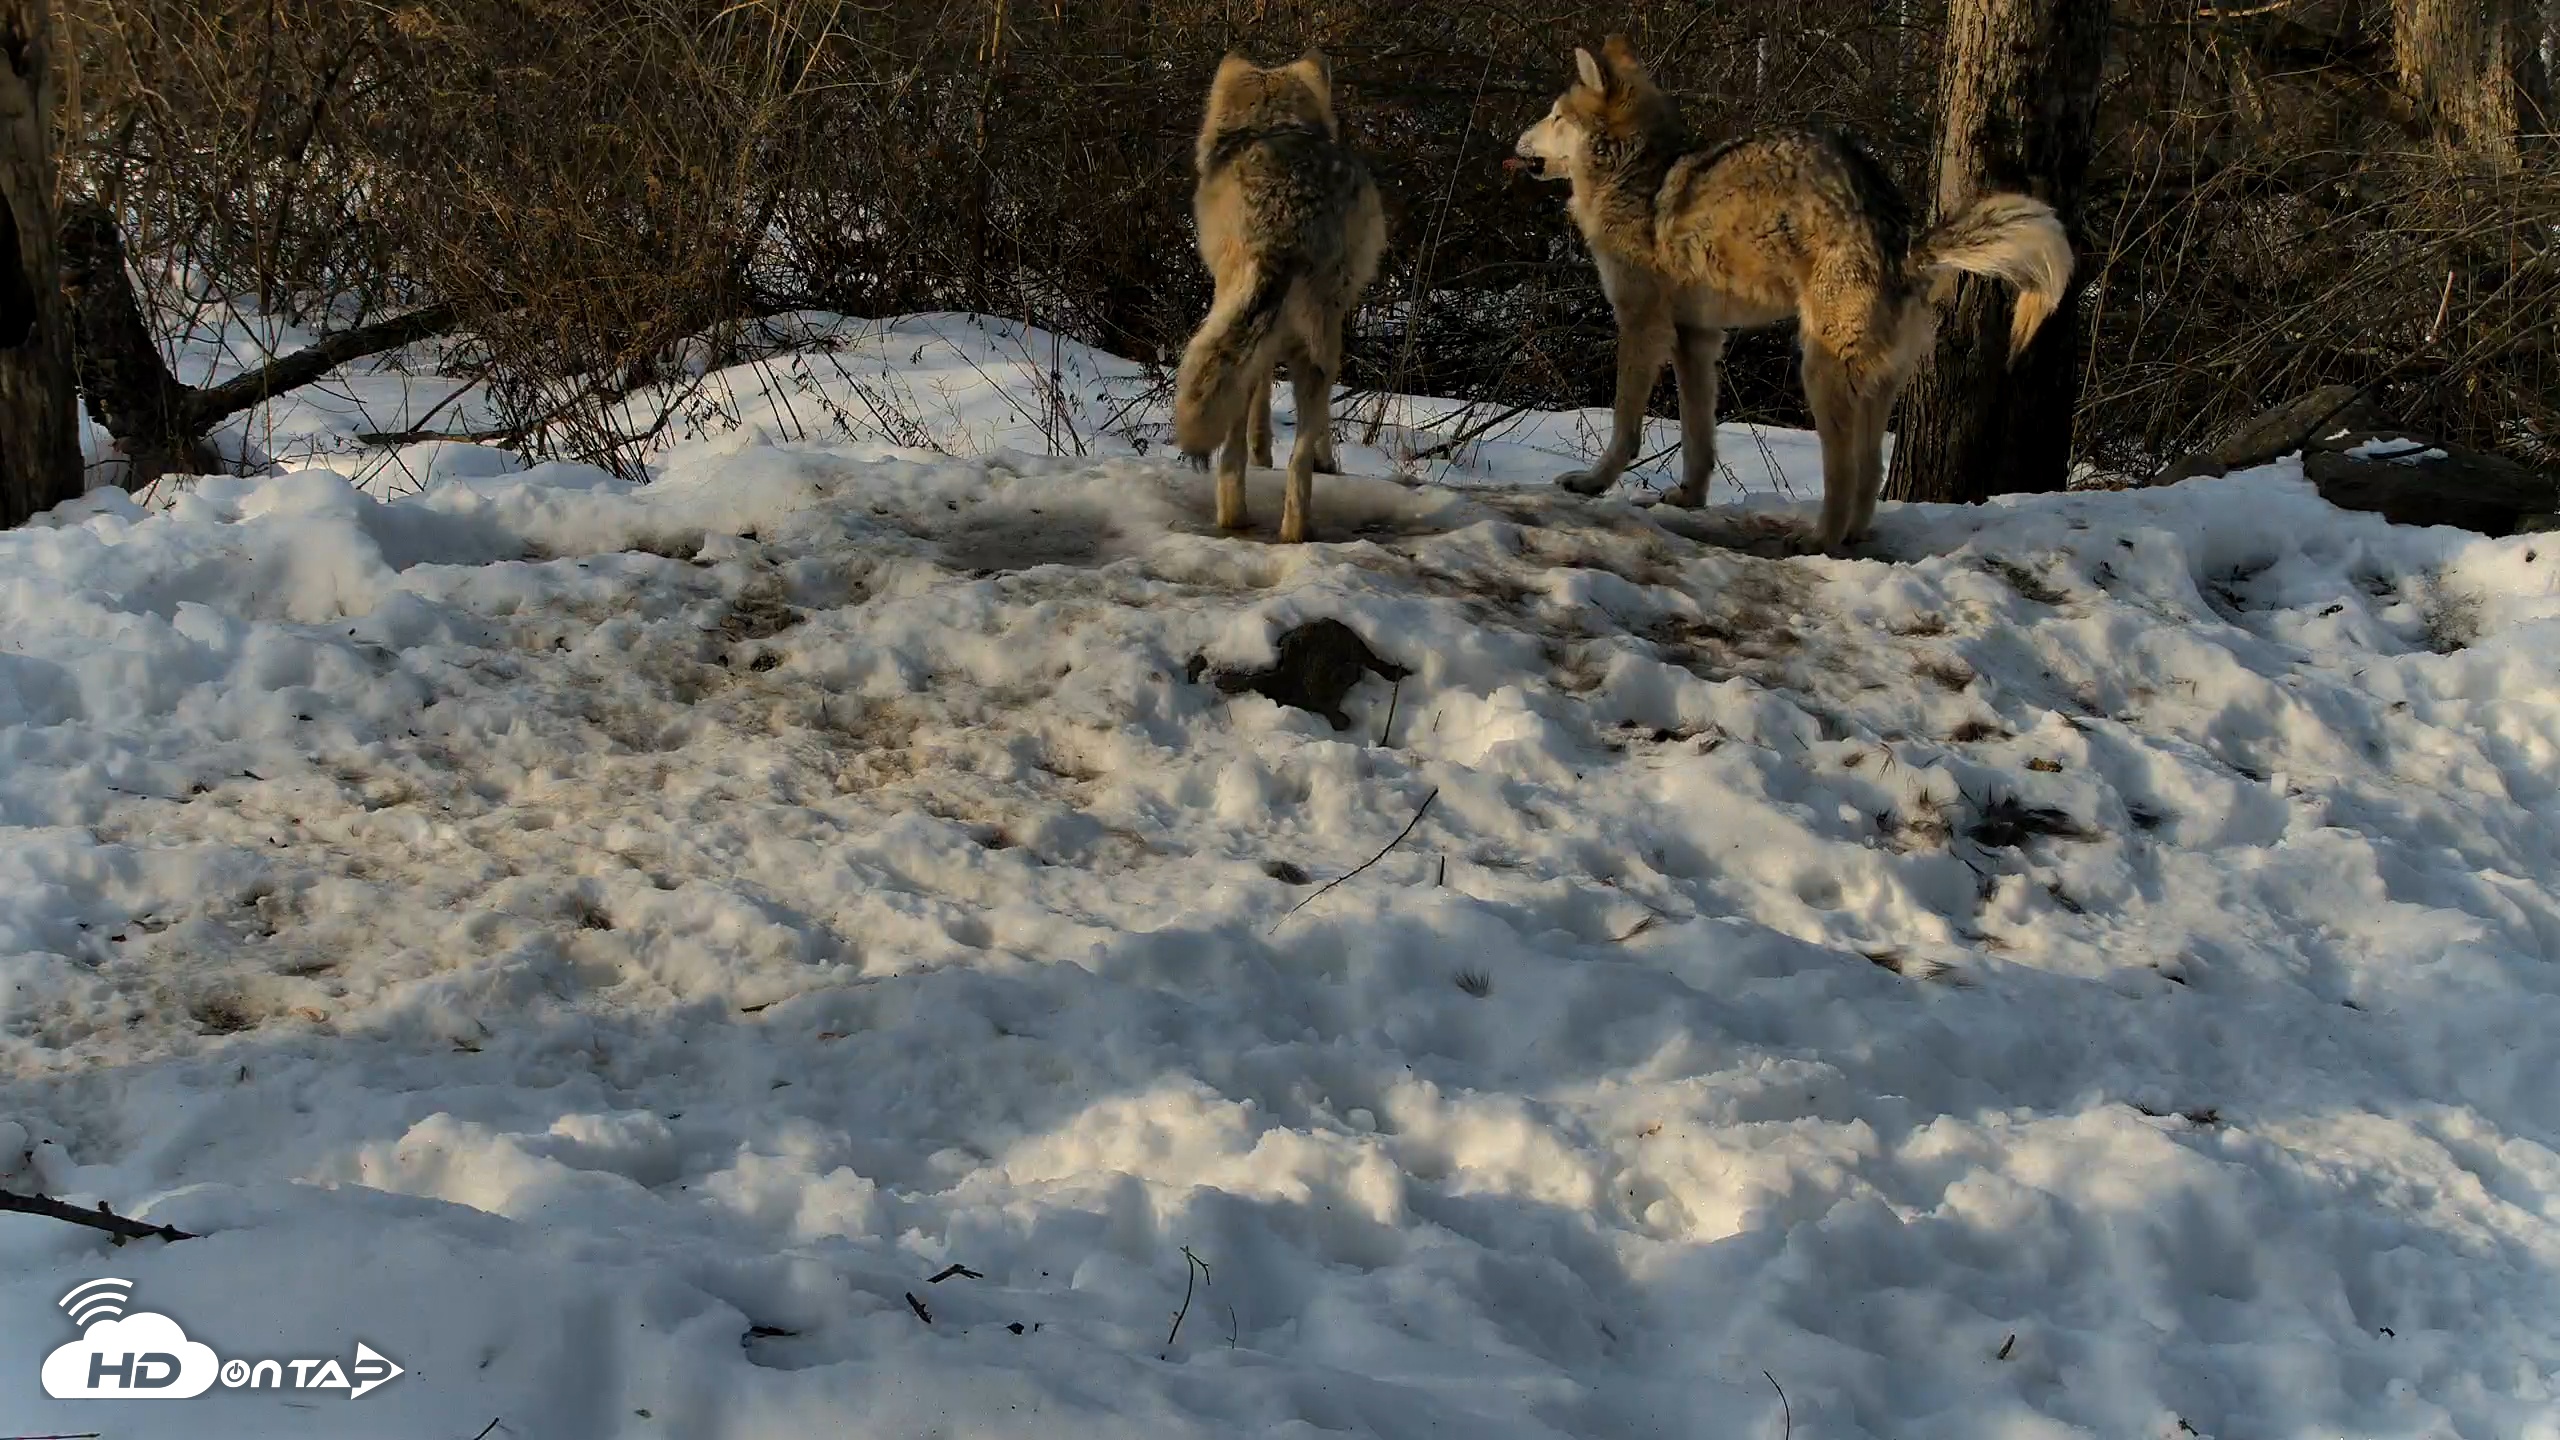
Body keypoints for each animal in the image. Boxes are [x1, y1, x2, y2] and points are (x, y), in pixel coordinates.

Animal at [1171, 49, 1386, 544]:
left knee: (1233, 447)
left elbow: (1259, 403)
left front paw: (1261, 452)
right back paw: (1294, 530)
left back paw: (1235, 516)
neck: (1273, 119)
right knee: (1300, 456)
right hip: (1321, 346)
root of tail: (1288, 206)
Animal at [1513, 35, 2072, 550]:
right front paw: (1688, 498)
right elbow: (1698, 437)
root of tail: (1905, 242)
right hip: (1870, 389)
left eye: (1556, 116)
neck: (1637, 176)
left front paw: (1592, 483)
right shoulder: (1697, 339)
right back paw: (1849, 538)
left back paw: (1817, 541)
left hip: (1818, 373)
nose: (1517, 144)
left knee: (1844, 475)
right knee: (1870, 472)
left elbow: (1625, 425)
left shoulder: (1641, 326)